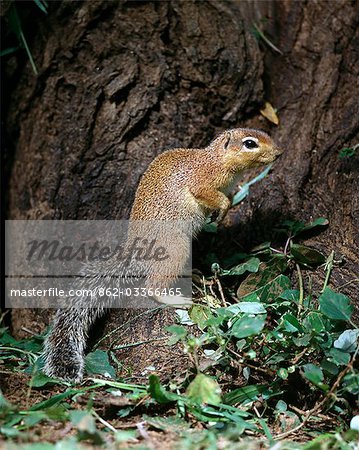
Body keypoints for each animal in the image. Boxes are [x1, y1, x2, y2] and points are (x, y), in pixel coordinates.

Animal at [43, 128, 284, 382]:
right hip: (175, 248)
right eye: (250, 144)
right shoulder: (202, 180)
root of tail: (136, 254)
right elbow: (212, 196)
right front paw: (223, 209)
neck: (216, 159)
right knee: (153, 287)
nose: (279, 152)